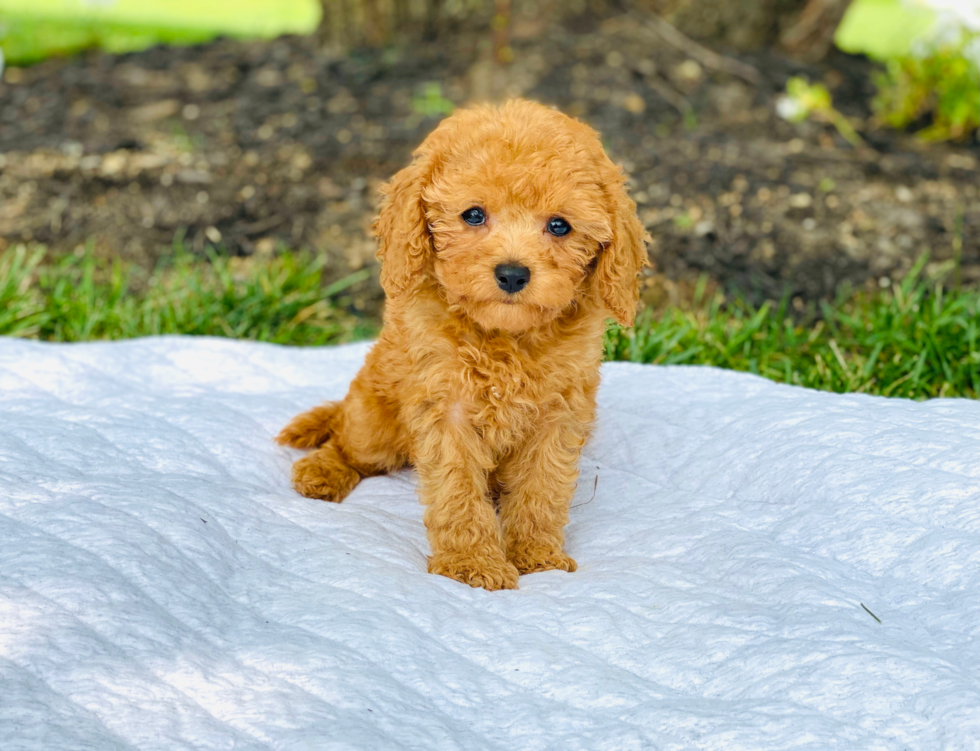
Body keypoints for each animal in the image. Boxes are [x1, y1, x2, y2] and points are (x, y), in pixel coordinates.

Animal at [278, 100, 644, 592]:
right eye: (473, 215)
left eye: (559, 225)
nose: (512, 274)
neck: (505, 340)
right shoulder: (446, 407)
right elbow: (457, 489)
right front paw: (472, 563)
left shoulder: (559, 414)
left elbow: (542, 486)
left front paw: (536, 555)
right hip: (373, 424)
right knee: (348, 444)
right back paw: (322, 470)